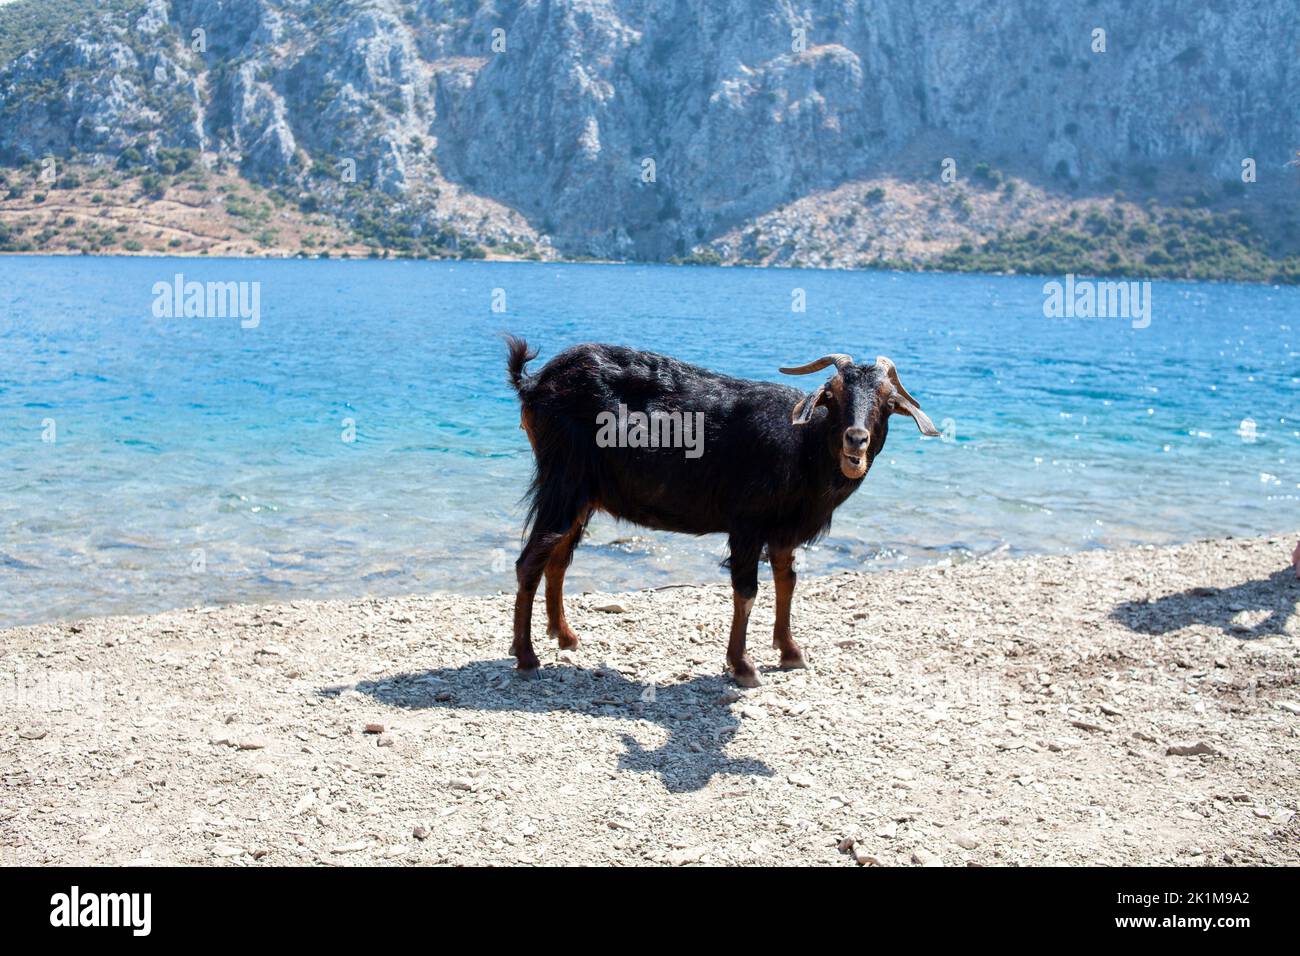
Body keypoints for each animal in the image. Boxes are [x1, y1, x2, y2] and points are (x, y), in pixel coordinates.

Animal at [501, 338, 941, 686]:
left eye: (888, 401)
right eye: (831, 396)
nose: (856, 440)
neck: (804, 446)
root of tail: (533, 382)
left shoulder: (783, 532)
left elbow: (787, 581)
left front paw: (790, 652)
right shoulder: (747, 523)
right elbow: (746, 592)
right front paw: (743, 666)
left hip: (583, 495)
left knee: (557, 559)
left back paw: (565, 636)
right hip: (563, 481)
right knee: (530, 561)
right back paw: (527, 656)